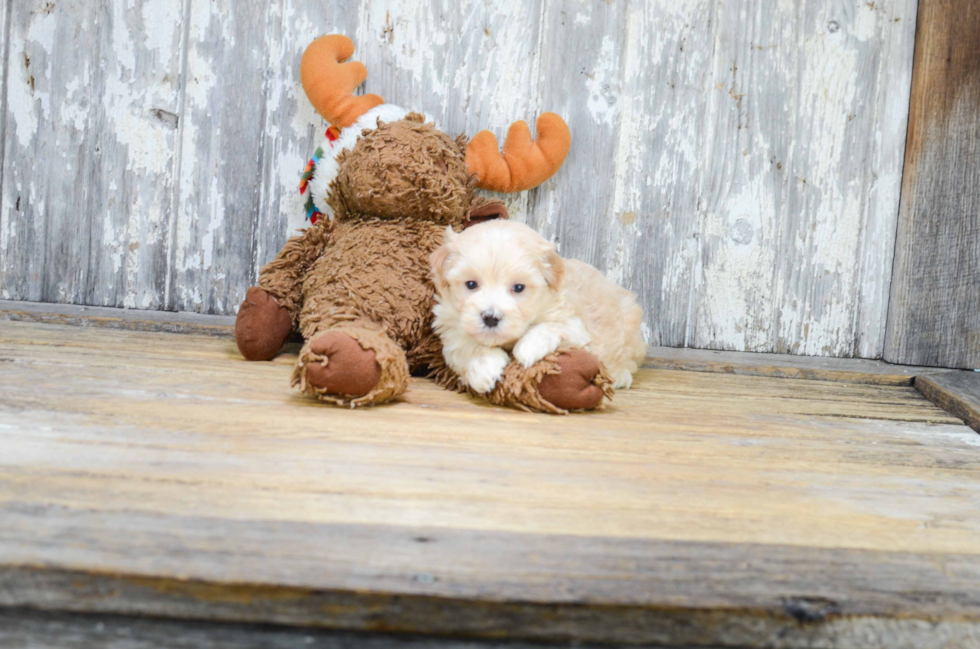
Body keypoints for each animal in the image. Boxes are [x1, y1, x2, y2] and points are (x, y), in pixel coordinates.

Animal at [430, 220, 648, 392]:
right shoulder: (450, 325)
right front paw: (485, 367)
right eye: (471, 284)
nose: (491, 317)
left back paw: (620, 375)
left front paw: (528, 348)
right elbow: (463, 343)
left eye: (518, 287)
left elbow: (553, 326)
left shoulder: (577, 327)